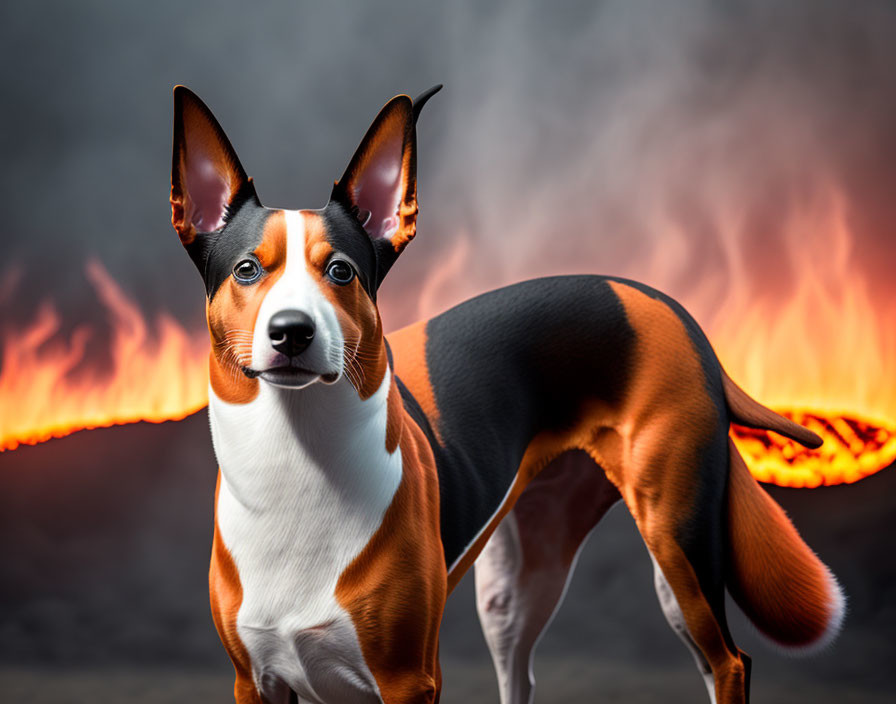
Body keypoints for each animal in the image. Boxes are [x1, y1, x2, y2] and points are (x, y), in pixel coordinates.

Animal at [170, 84, 848, 704]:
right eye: (246, 270)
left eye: (340, 271)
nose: (291, 331)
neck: (296, 462)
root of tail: (667, 306)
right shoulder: (255, 682)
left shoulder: (407, 680)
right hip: (518, 585)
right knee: (525, 669)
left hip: (677, 542)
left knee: (727, 661)